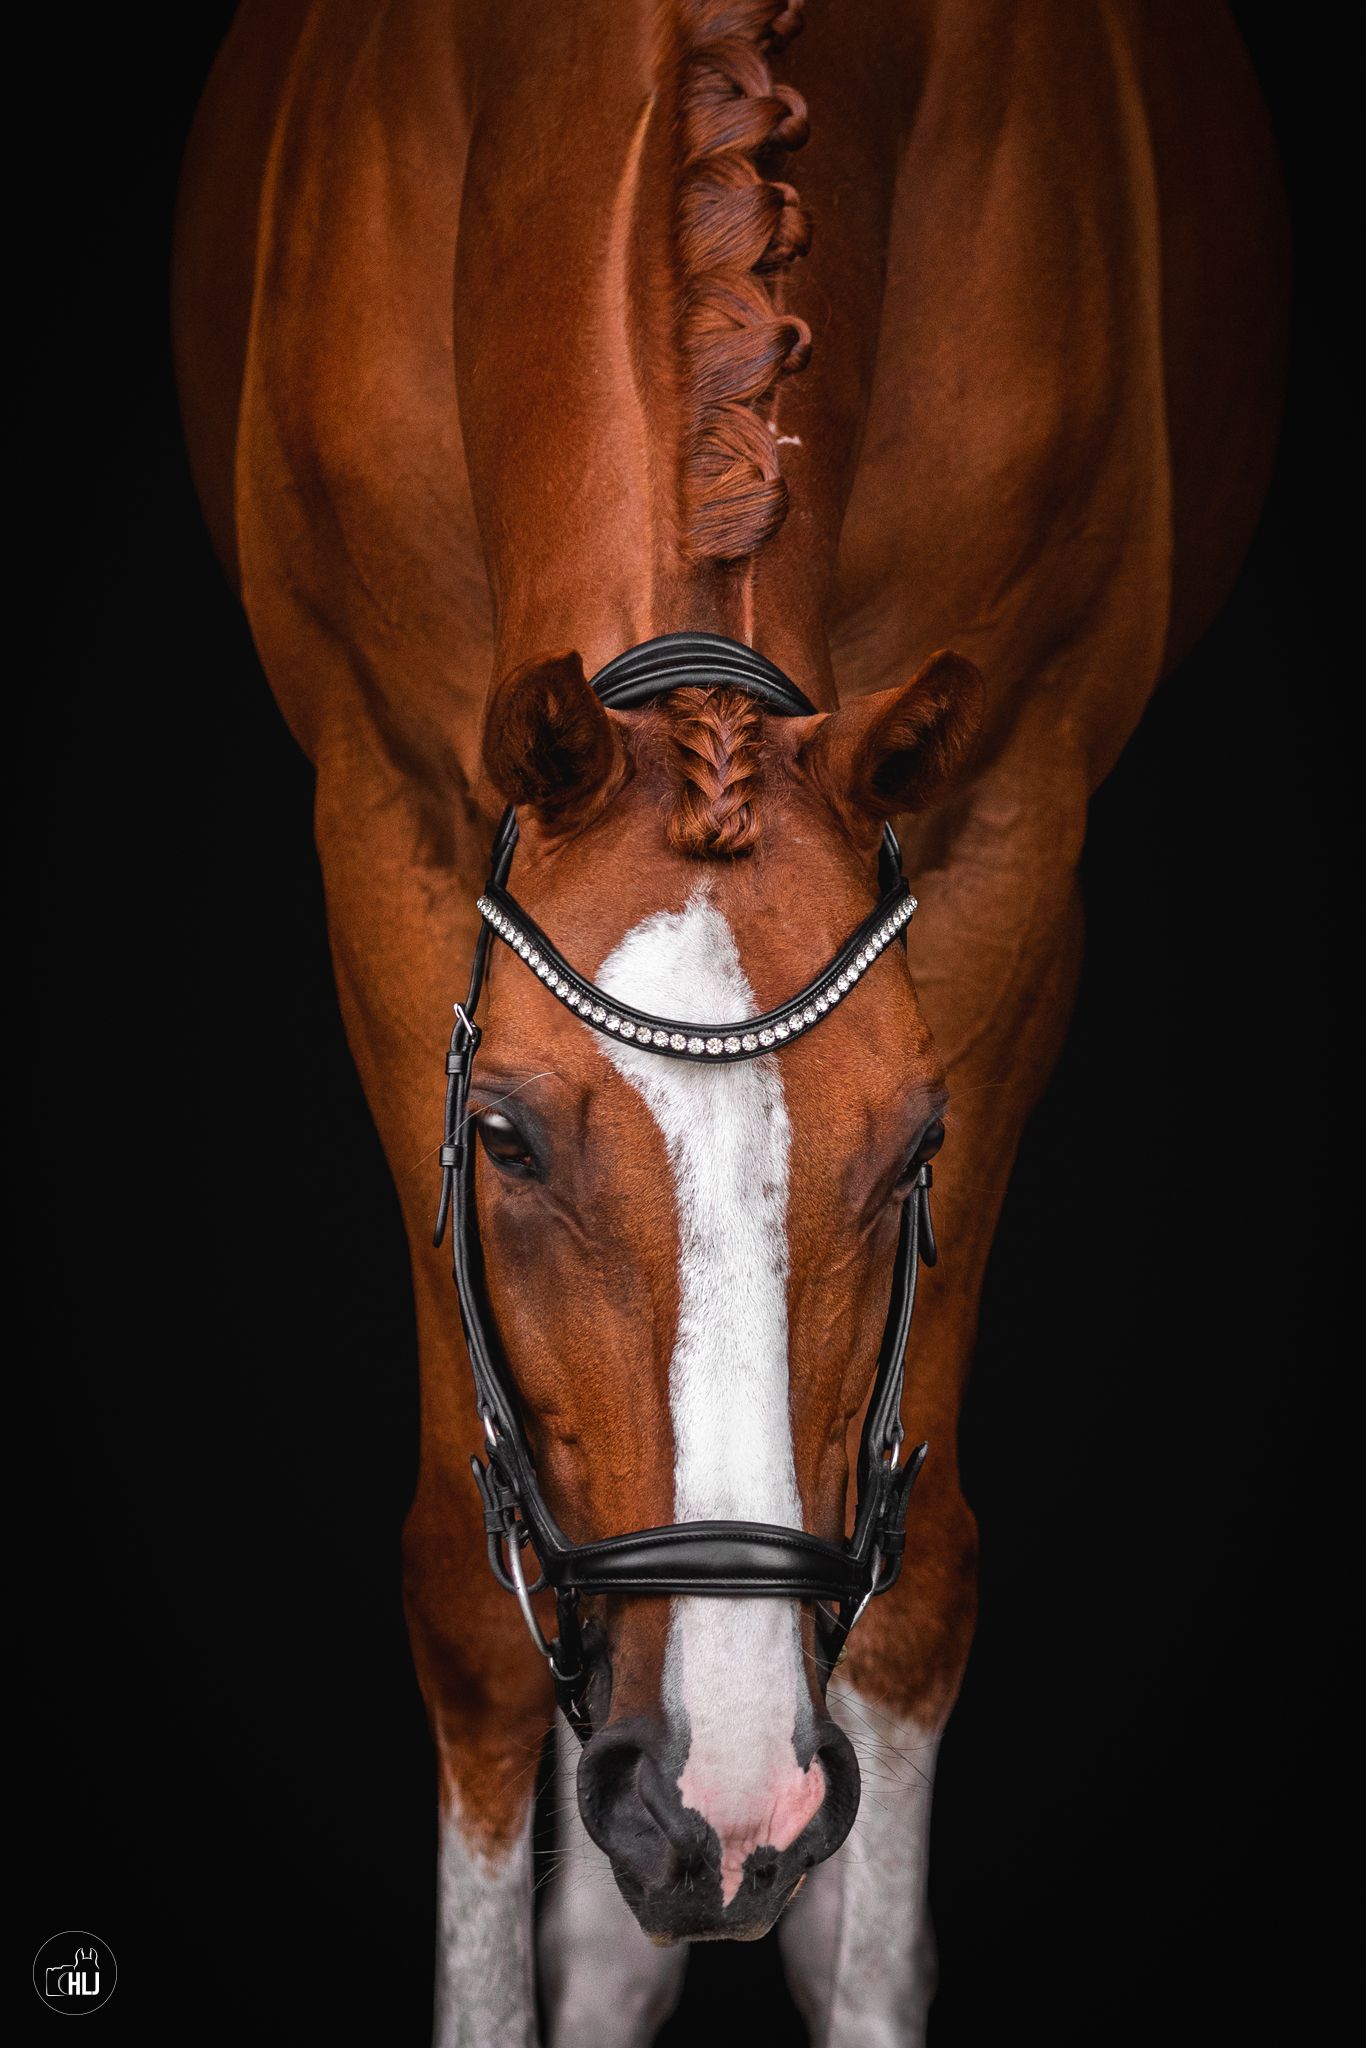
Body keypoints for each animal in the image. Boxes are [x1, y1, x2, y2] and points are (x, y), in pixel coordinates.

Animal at [173, 1, 1286, 2039]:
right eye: (503, 1141)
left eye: (916, 1142)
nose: (728, 1804)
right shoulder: (385, 818)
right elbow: (467, 1598)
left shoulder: (1011, 840)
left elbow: (915, 1599)